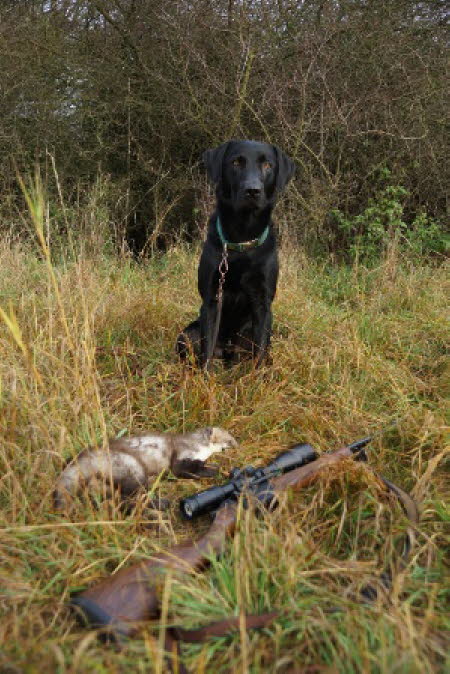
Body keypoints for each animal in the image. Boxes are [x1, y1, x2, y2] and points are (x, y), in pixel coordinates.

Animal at [176, 137, 296, 368]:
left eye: (267, 165)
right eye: (236, 162)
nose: (252, 190)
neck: (242, 237)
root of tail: (227, 349)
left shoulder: (262, 303)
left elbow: (260, 353)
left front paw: (257, 377)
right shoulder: (212, 299)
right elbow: (206, 351)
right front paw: (204, 377)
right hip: (187, 334)